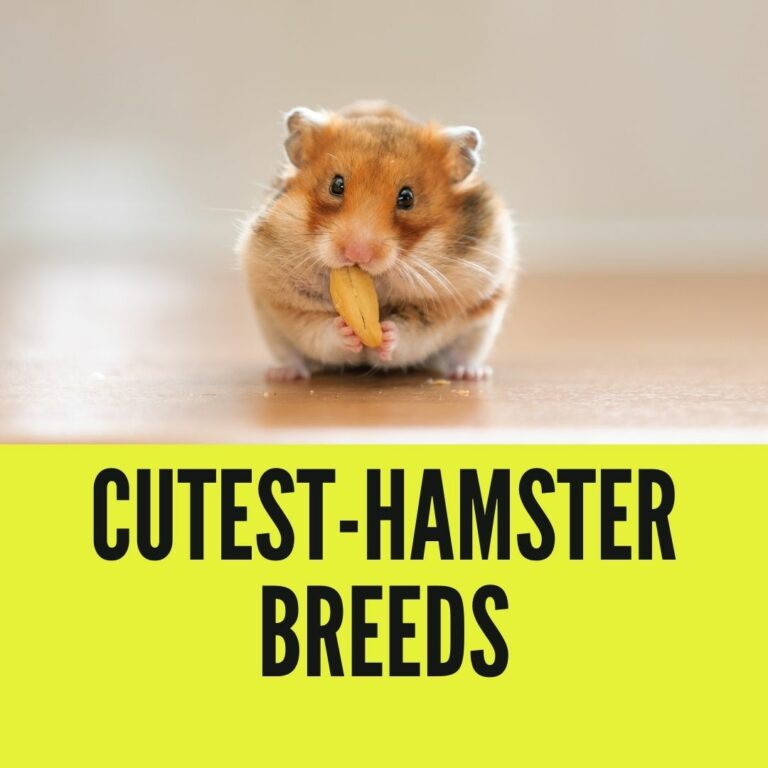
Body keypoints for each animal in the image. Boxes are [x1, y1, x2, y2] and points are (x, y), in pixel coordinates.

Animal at [237, 100, 517, 381]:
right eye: (336, 185)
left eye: (407, 198)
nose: (357, 254)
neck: (378, 283)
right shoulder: (285, 302)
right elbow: (318, 329)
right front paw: (345, 331)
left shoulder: (445, 305)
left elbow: (412, 332)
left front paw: (387, 334)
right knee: (291, 355)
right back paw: (283, 374)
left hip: (481, 328)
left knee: (462, 354)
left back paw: (471, 374)